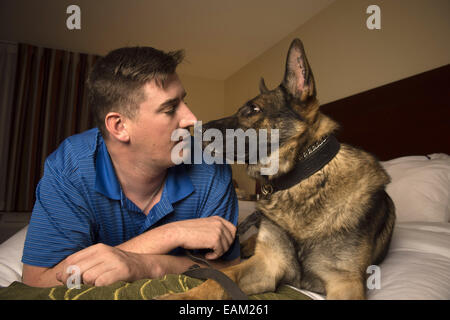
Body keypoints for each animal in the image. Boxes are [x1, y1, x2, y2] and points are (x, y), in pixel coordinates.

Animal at [160, 38, 396, 298]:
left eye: (253, 109)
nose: (196, 128)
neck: (301, 181)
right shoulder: (268, 263)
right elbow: (221, 278)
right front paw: (185, 295)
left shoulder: (346, 283)